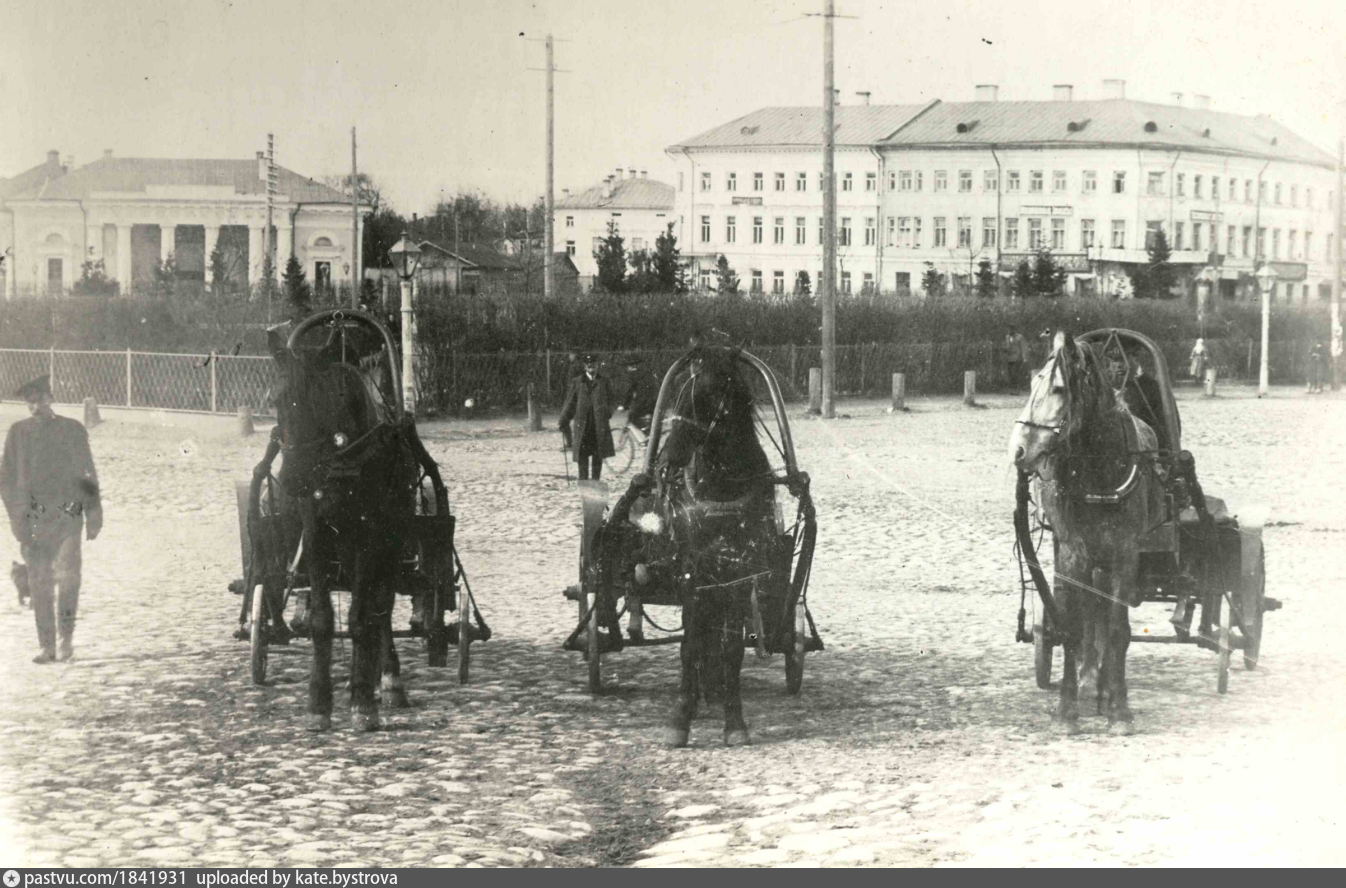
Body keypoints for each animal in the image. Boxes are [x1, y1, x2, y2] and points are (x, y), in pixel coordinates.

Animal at [270, 316, 438, 731]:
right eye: (276, 400)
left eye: (320, 398)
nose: (294, 478)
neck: (344, 457)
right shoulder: (316, 536)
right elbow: (322, 619)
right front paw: (319, 702)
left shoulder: (371, 538)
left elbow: (364, 617)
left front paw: (363, 701)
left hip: (392, 545)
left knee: (382, 608)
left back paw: (386, 679)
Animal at [654, 347, 780, 748]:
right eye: (677, 389)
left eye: (708, 395)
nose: (667, 460)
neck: (722, 484)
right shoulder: (693, 572)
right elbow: (691, 644)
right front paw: (680, 718)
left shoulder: (739, 574)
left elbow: (731, 649)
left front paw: (734, 721)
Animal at [1012, 333, 1168, 737]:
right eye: (1031, 383)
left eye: (1058, 389)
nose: (1019, 450)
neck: (1099, 471)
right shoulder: (1072, 553)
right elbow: (1074, 627)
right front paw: (1068, 708)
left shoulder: (1125, 554)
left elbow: (1117, 631)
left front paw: (1119, 708)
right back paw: (1089, 682)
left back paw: (1103, 689)